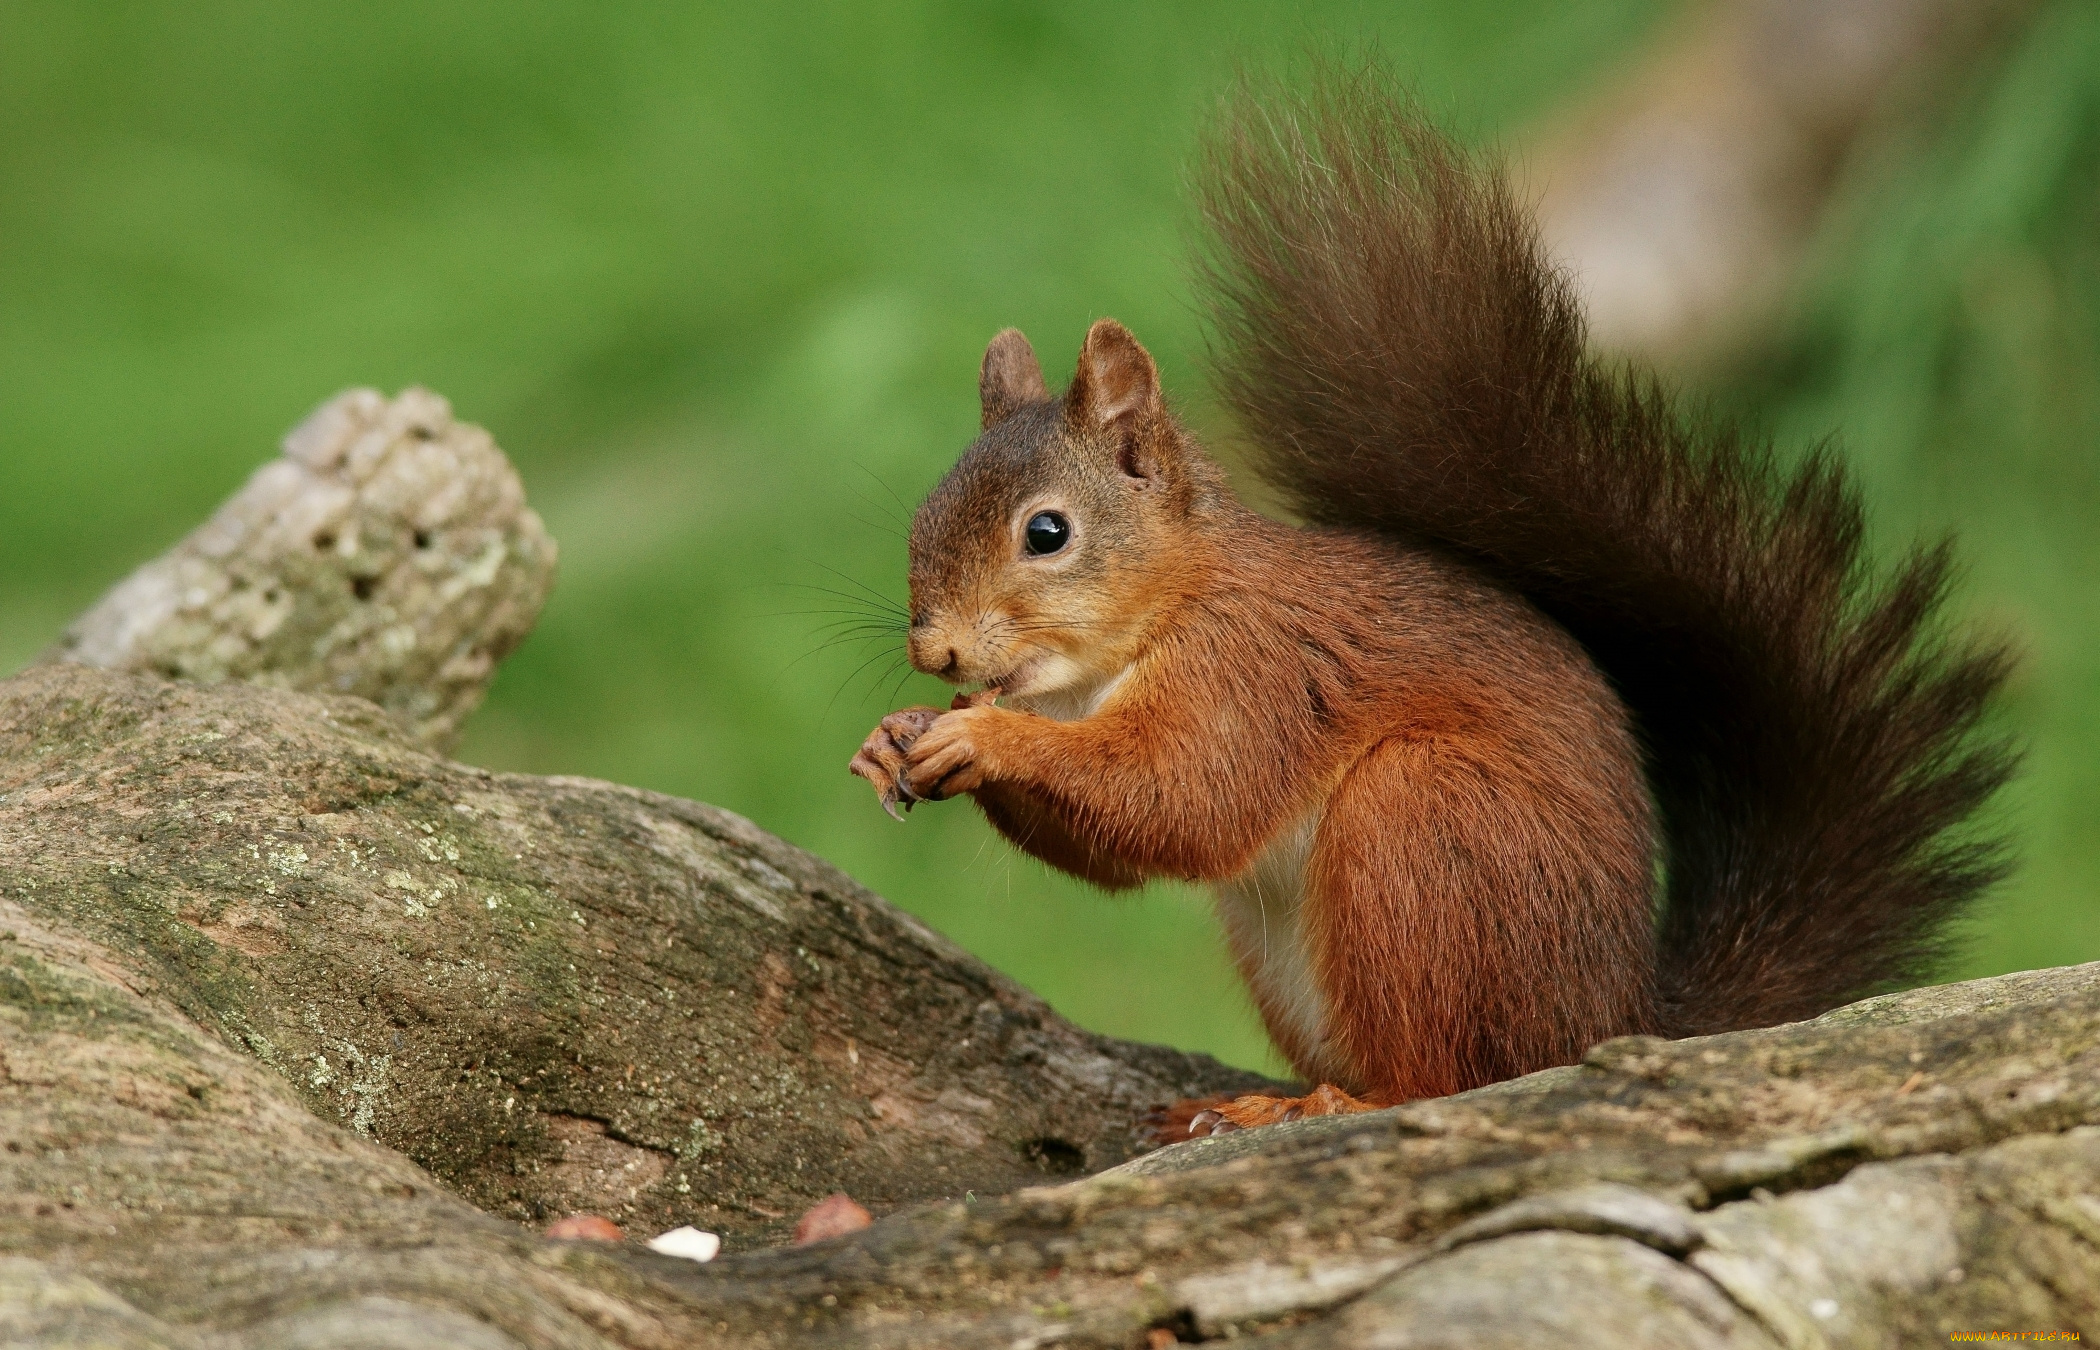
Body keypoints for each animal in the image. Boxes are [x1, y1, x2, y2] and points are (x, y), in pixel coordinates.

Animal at [844, 79, 2007, 1142]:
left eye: (1047, 533)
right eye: (925, 510)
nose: (933, 650)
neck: (1126, 646)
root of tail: (1606, 1020)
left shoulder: (1256, 667)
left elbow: (1185, 796)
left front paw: (984, 738)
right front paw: (894, 736)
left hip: (1424, 828)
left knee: (1444, 1079)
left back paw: (1321, 1106)